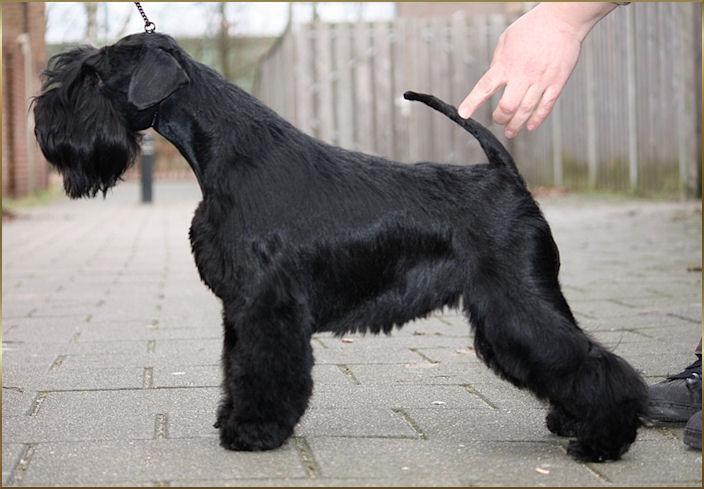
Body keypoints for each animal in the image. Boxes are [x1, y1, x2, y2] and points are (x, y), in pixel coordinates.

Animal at [33, 32, 647, 462]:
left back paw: (604, 439)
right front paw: (234, 420)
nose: (42, 122)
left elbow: (266, 369)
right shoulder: (241, 306)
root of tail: (507, 175)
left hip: (515, 303)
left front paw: (254, 432)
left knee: (591, 361)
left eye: (92, 77)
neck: (230, 153)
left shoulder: (269, 305)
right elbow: (238, 366)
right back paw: (574, 423)